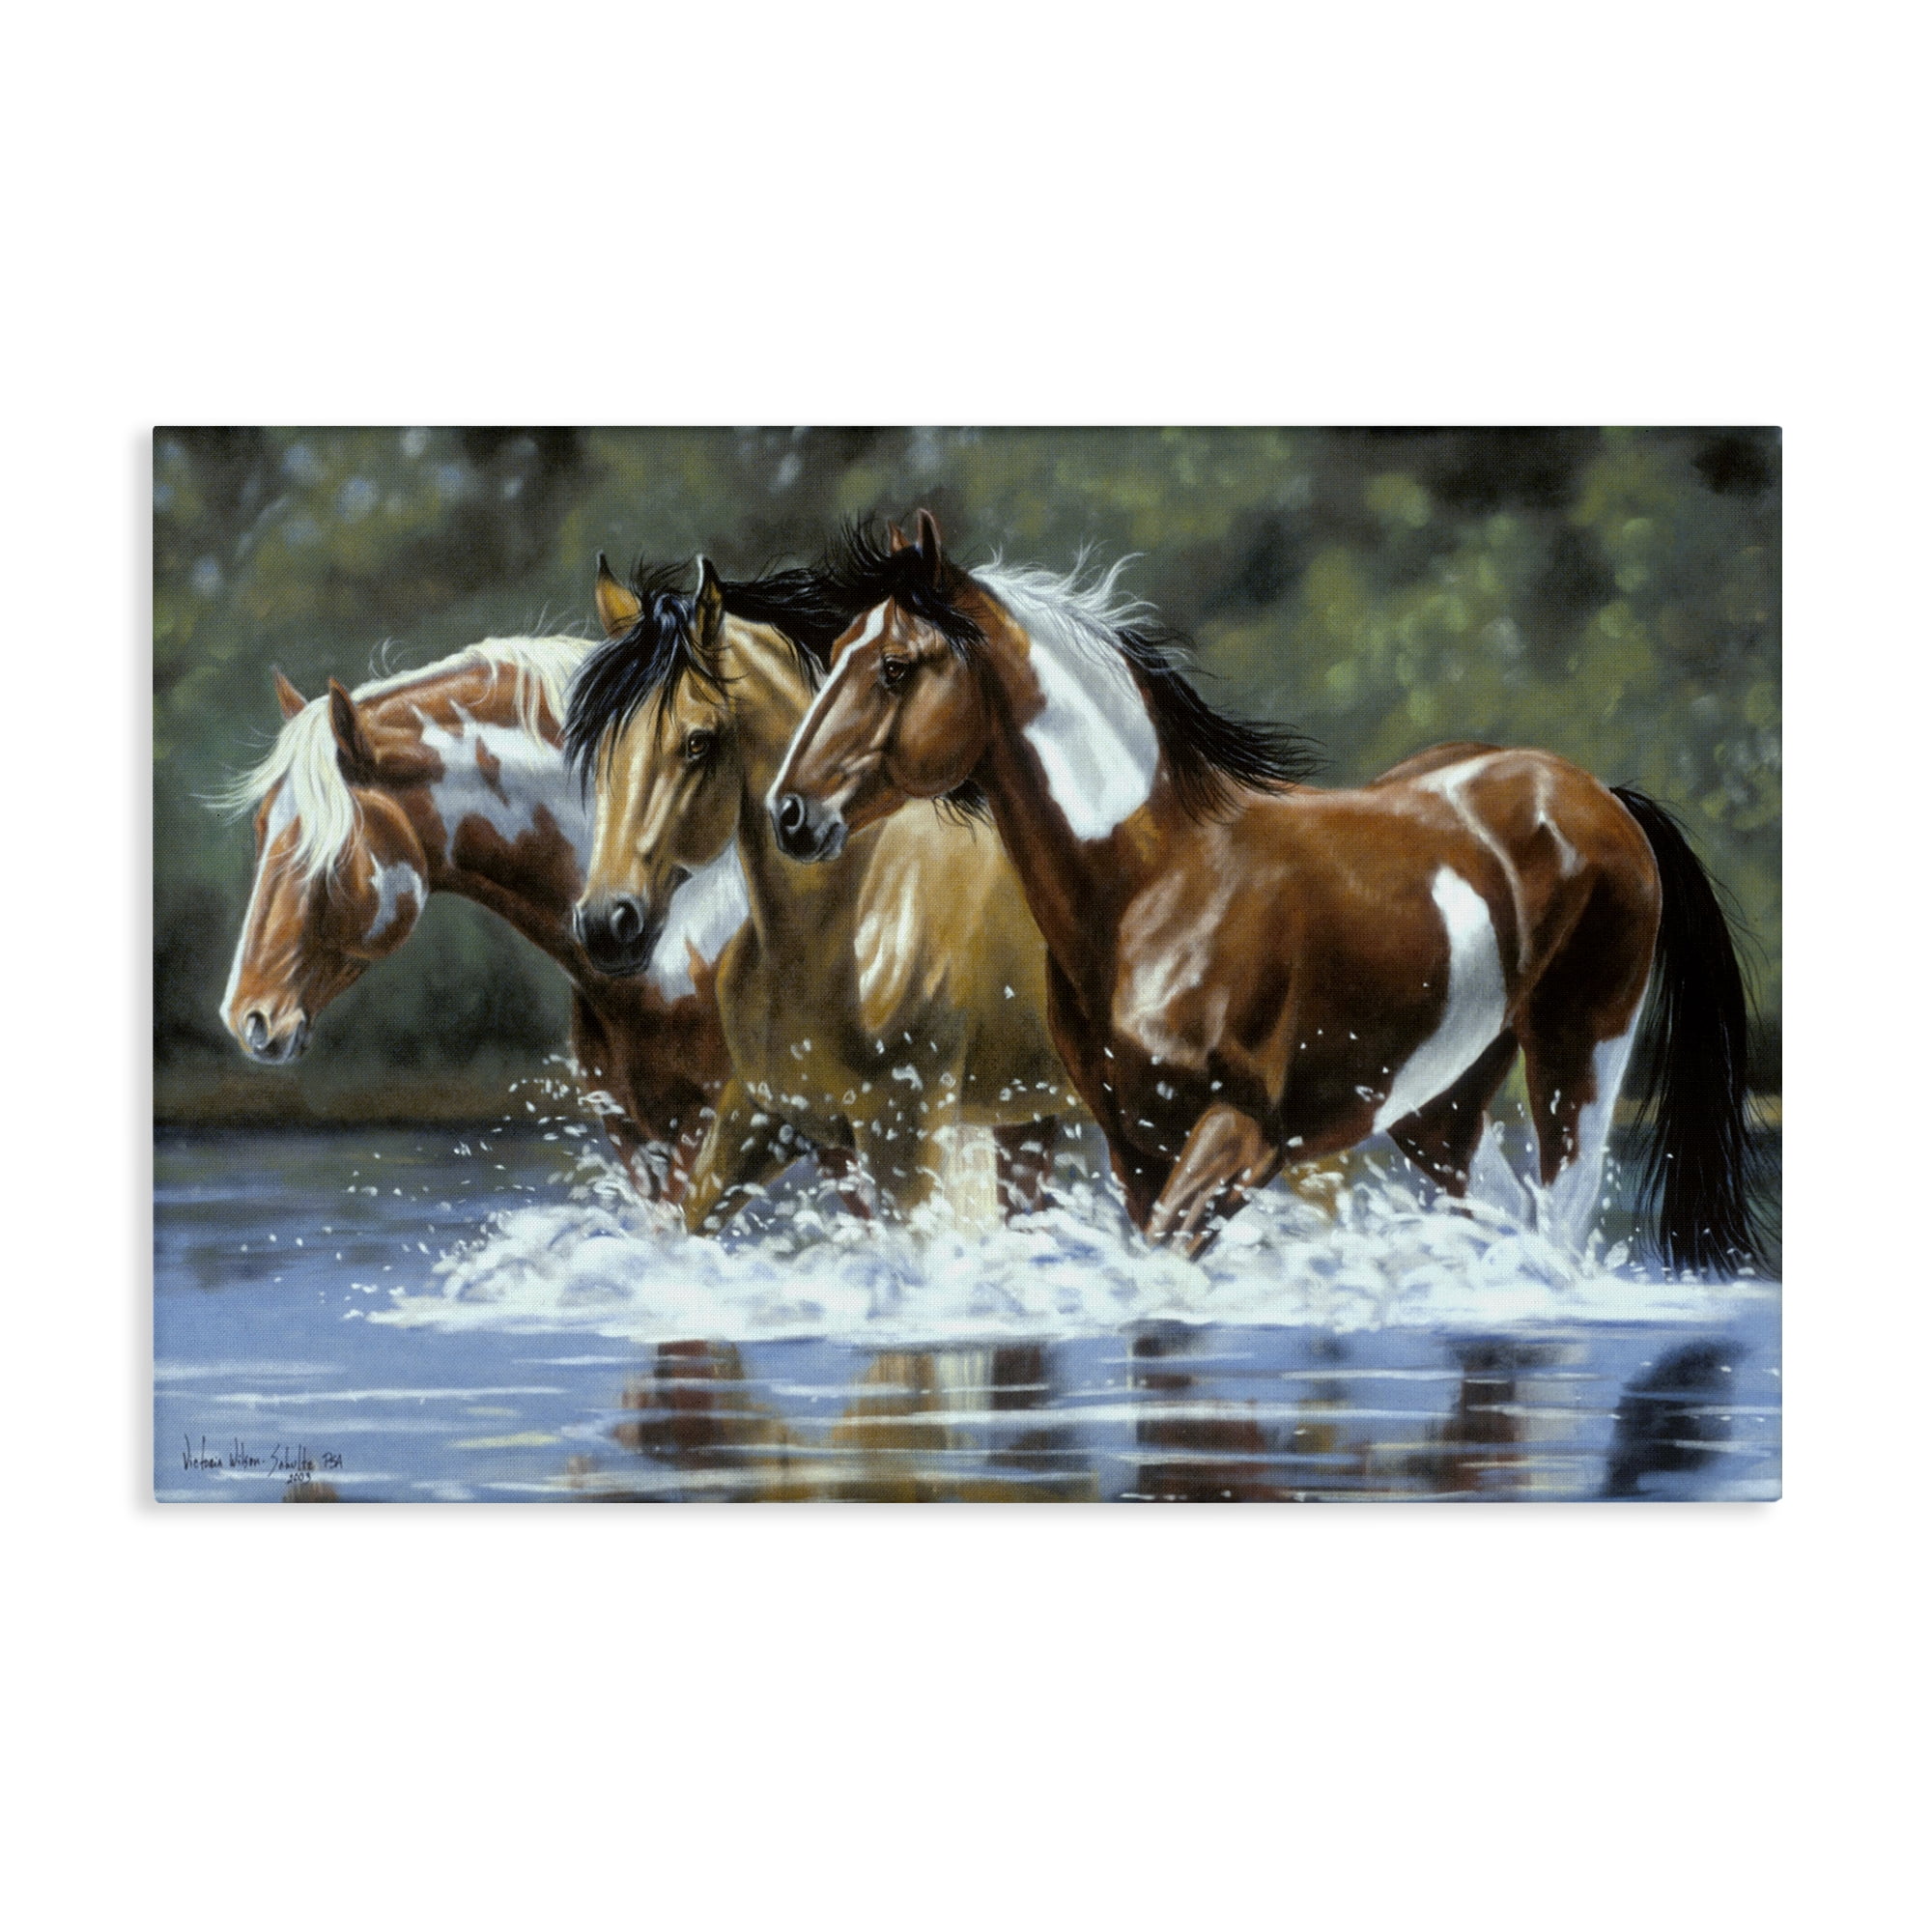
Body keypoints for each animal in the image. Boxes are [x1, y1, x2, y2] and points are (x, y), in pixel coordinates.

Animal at [566, 554, 1077, 1234]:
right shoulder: (760, 1115)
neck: (845, 927)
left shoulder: (903, 1138)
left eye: (698, 741)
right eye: (603, 747)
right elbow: (686, 1224)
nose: (606, 922)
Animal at [768, 512, 1764, 1274]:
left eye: (896, 666)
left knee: (1557, 1220)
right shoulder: (1137, 1145)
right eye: (840, 650)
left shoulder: (1241, 1137)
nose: (791, 813)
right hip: (1439, 1107)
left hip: (1577, 1062)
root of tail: (1600, 797)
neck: (1157, 887)